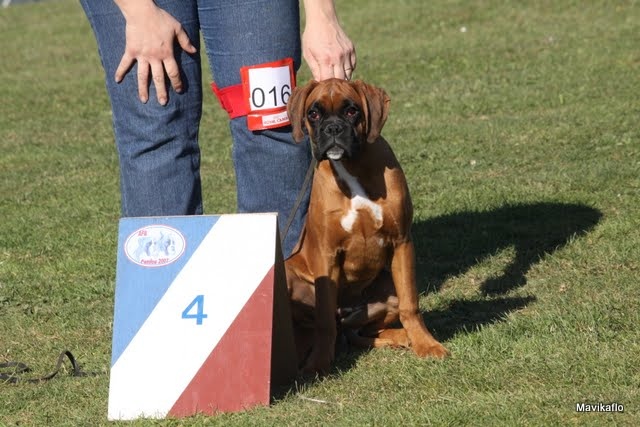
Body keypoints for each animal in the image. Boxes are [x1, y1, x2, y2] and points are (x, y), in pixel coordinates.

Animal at [285, 78, 449, 375]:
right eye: (313, 114)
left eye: (352, 111)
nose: (333, 128)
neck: (352, 167)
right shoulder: (326, 255)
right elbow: (324, 322)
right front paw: (318, 364)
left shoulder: (402, 242)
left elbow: (411, 305)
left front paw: (426, 344)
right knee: (333, 327)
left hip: (388, 285)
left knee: (364, 331)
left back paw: (404, 336)